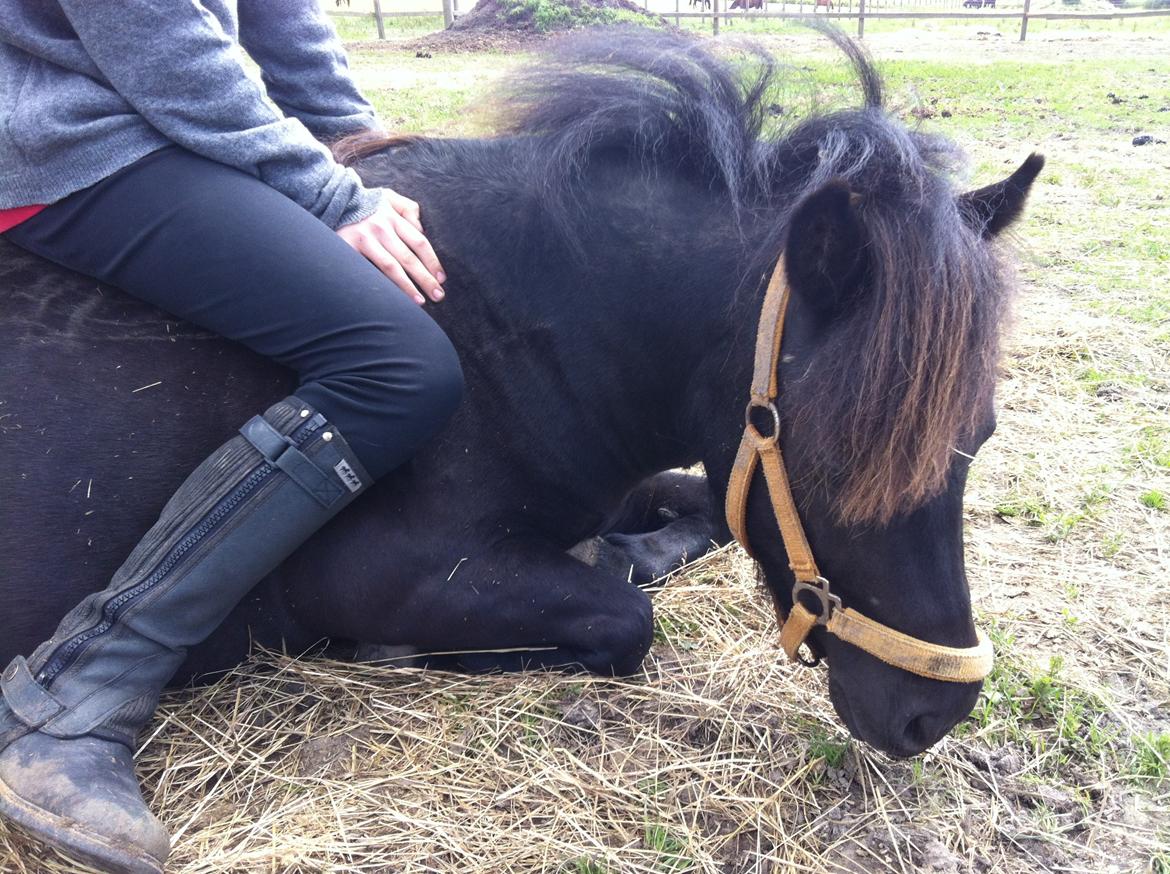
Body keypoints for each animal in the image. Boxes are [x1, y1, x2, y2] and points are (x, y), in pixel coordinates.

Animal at [0, 32, 1043, 758]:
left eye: (984, 437)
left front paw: (639, 543)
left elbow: (697, 504)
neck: (514, 324)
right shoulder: (388, 575)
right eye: (831, 454)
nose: (935, 713)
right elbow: (626, 616)